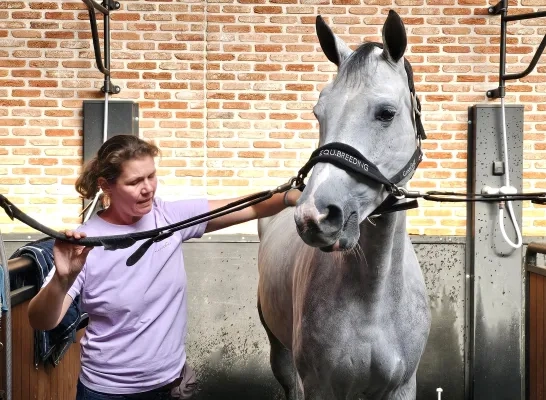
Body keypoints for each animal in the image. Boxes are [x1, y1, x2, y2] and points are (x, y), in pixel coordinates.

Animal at [255, 10, 430, 400]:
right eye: (319, 112)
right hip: (280, 354)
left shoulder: (402, 386)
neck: (373, 301)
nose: (314, 216)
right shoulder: (318, 386)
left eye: (386, 113)